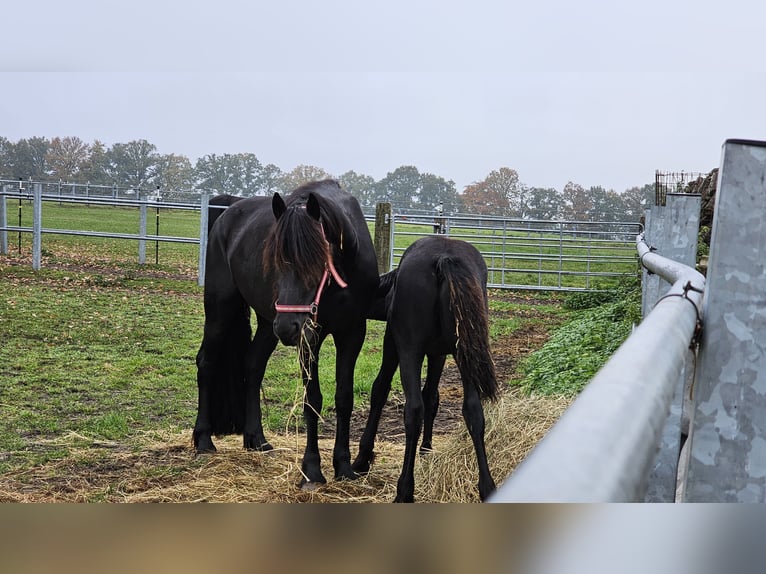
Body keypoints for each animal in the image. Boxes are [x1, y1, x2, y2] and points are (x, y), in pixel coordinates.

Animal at [195, 181, 380, 490]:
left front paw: (343, 467)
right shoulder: (309, 337)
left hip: (267, 324)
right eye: (275, 259)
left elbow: (344, 398)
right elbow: (312, 400)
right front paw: (312, 471)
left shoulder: (352, 332)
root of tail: (227, 212)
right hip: (223, 310)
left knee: (252, 366)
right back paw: (203, 440)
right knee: (206, 363)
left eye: (317, 260)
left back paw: (256, 439)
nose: (287, 327)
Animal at [356, 236, 500, 502]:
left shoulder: (394, 343)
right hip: (465, 354)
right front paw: (426, 449)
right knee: (473, 411)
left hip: (409, 351)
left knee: (413, 410)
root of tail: (444, 259)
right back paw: (487, 487)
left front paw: (362, 459)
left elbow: (380, 390)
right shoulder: (438, 354)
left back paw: (404, 490)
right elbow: (432, 397)